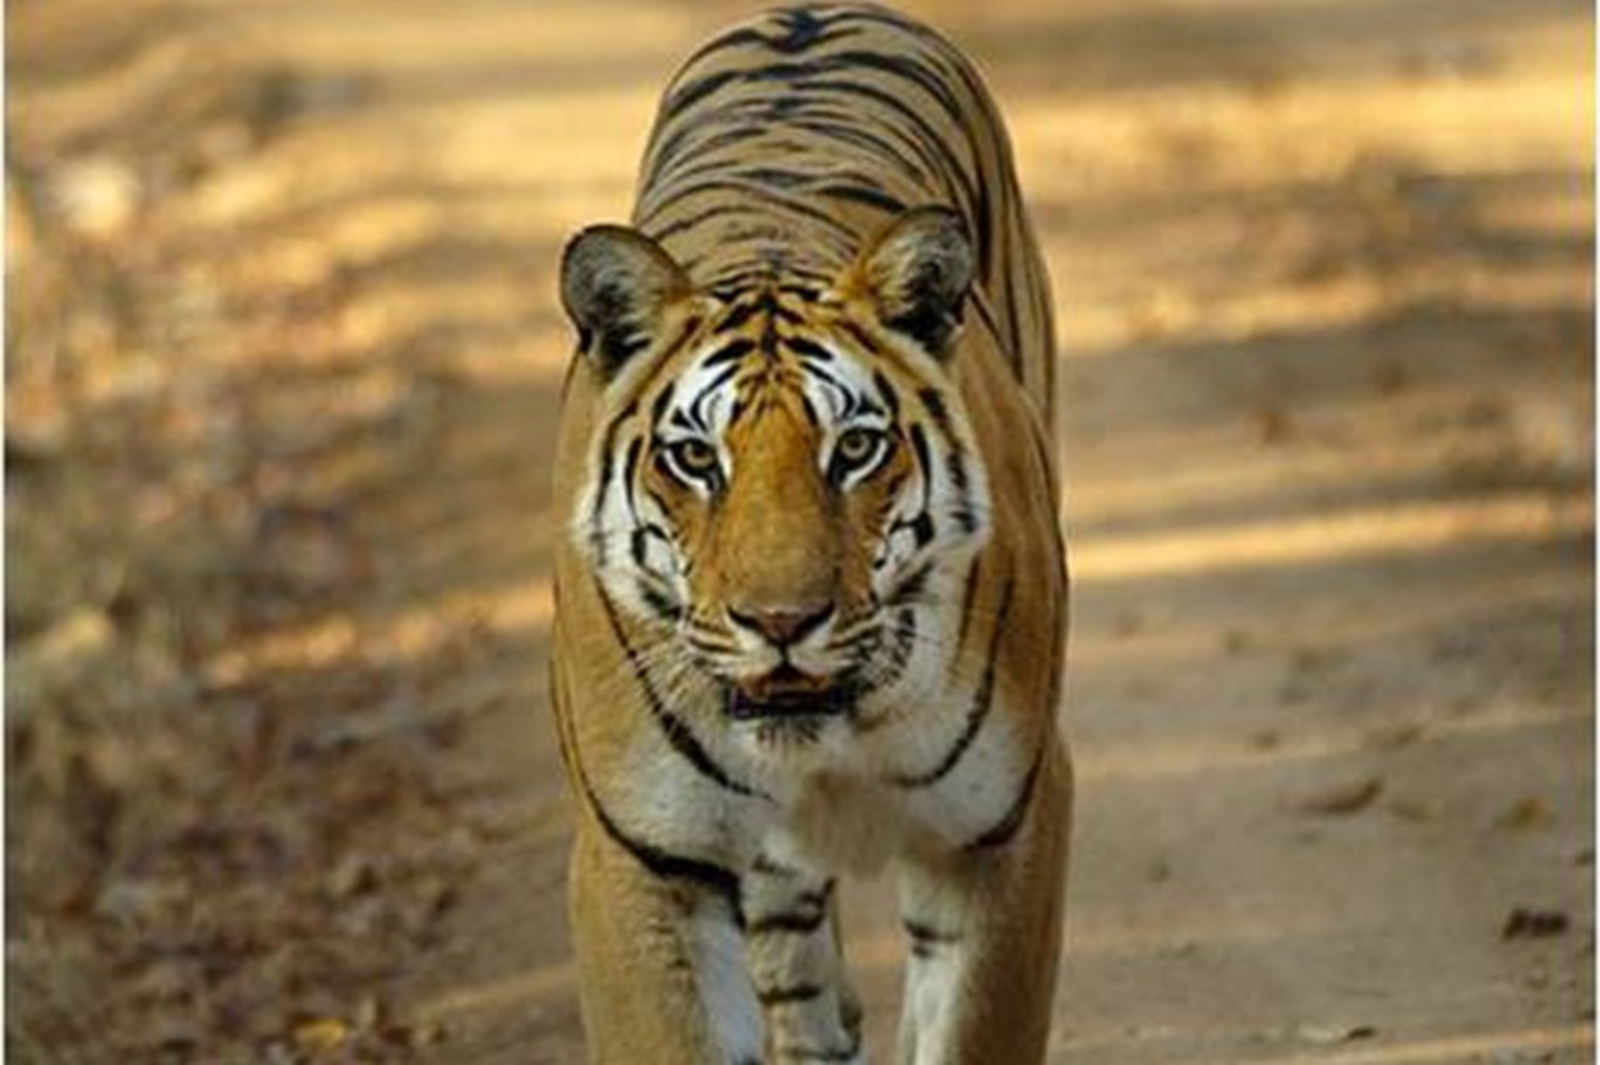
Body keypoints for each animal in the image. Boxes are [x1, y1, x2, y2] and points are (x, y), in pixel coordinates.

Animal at [550, 4, 1070, 1062]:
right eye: (695, 458)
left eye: (856, 448)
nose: (782, 622)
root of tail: (814, 12)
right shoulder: (642, 860)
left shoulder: (1005, 825)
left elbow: (972, 1026)